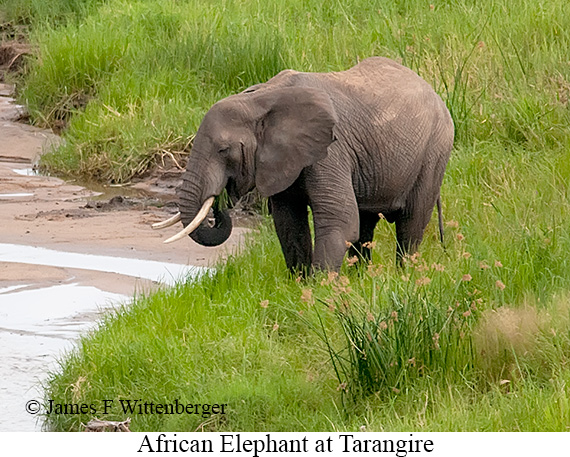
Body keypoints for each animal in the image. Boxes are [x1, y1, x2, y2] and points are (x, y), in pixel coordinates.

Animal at [152, 55, 452, 272]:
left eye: (224, 150)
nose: (220, 205)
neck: (258, 98)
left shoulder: (331, 151)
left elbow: (340, 220)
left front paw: (322, 292)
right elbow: (288, 222)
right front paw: (300, 285)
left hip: (435, 151)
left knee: (411, 223)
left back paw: (405, 276)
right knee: (367, 223)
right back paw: (361, 279)